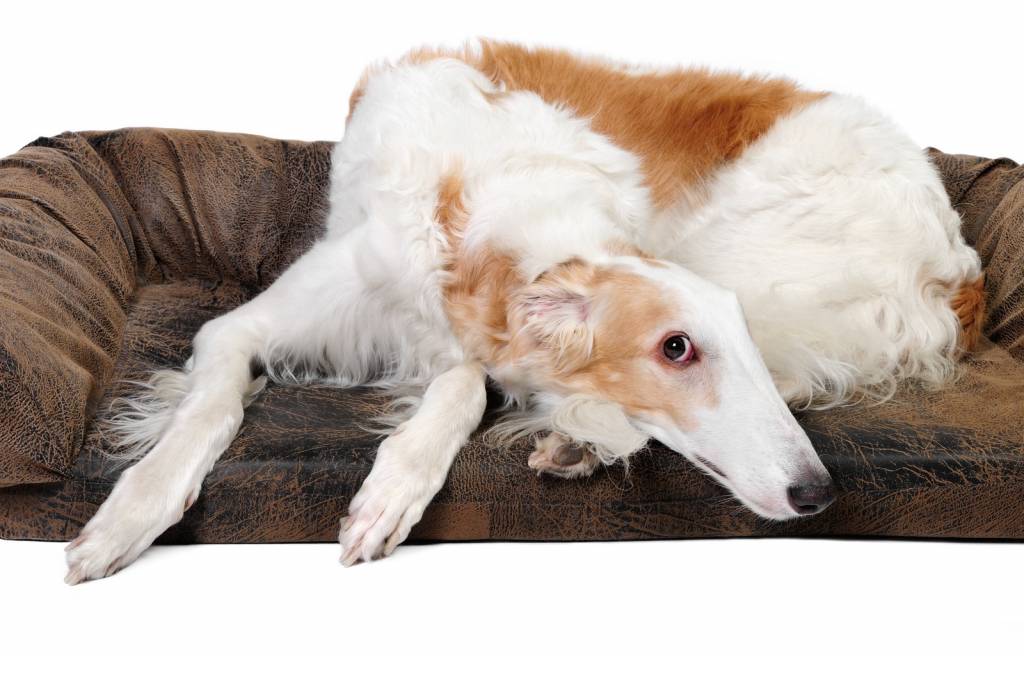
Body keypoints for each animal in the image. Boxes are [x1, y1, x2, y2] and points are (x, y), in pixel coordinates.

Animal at [64, 40, 984, 583]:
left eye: (719, 345)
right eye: (675, 349)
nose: (817, 494)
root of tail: (957, 258)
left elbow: (465, 384)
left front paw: (393, 487)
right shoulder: (246, 325)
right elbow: (207, 407)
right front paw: (124, 519)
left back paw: (581, 438)